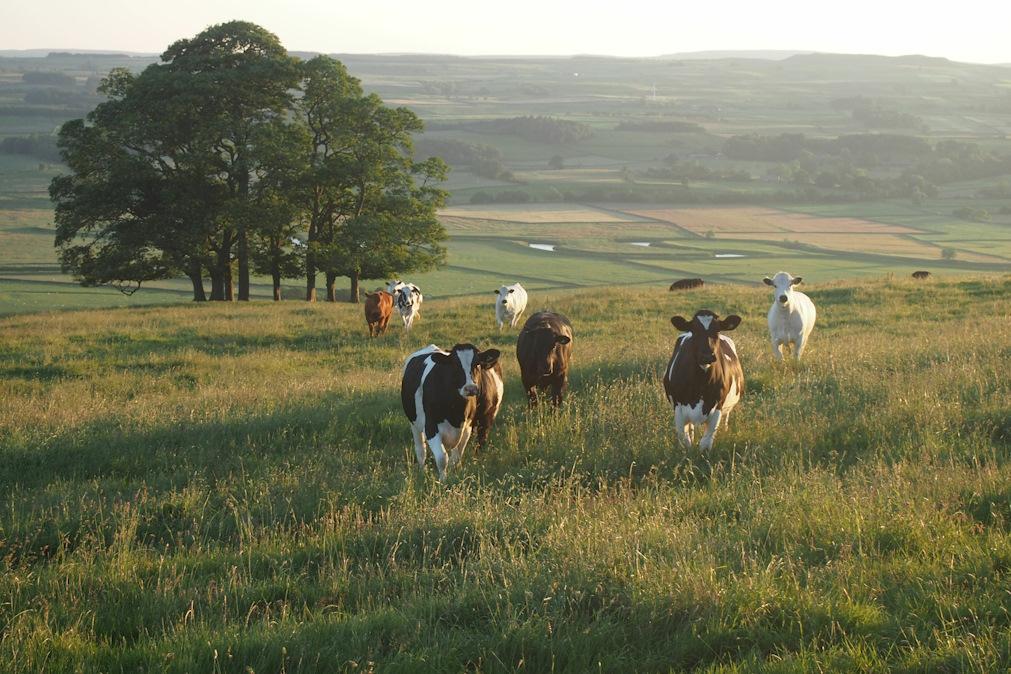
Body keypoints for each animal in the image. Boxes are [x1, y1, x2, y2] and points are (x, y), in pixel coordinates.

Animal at [398, 345, 501, 483]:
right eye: (455, 364)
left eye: (477, 364)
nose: (470, 388)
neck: (455, 411)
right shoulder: (430, 427)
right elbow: (442, 458)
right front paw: (443, 480)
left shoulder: (467, 428)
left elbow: (455, 458)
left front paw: (454, 475)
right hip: (414, 423)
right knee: (421, 450)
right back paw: (422, 471)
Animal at [659, 311, 748, 452]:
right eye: (694, 330)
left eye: (717, 330)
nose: (707, 356)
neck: (700, 384)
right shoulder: (678, 408)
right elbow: (685, 441)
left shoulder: (717, 407)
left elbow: (705, 443)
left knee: (726, 419)